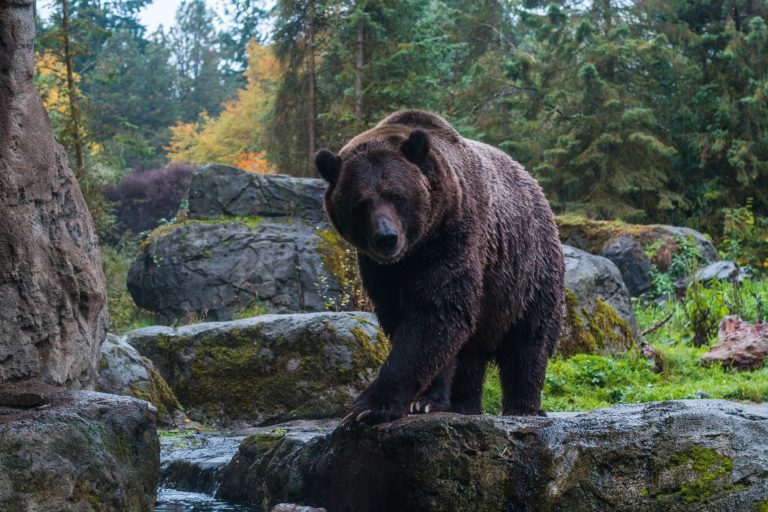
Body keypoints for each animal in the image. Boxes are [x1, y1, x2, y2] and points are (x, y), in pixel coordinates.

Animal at [314, 111, 564, 424]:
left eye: (396, 195)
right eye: (360, 203)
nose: (386, 238)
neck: (412, 252)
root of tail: (534, 185)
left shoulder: (453, 237)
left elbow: (435, 313)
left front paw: (370, 406)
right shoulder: (380, 271)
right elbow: (410, 320)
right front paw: (425, 400)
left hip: (528, 269)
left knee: (529, 340)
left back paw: (523, 406)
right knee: (472, 355)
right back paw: (464, 404)